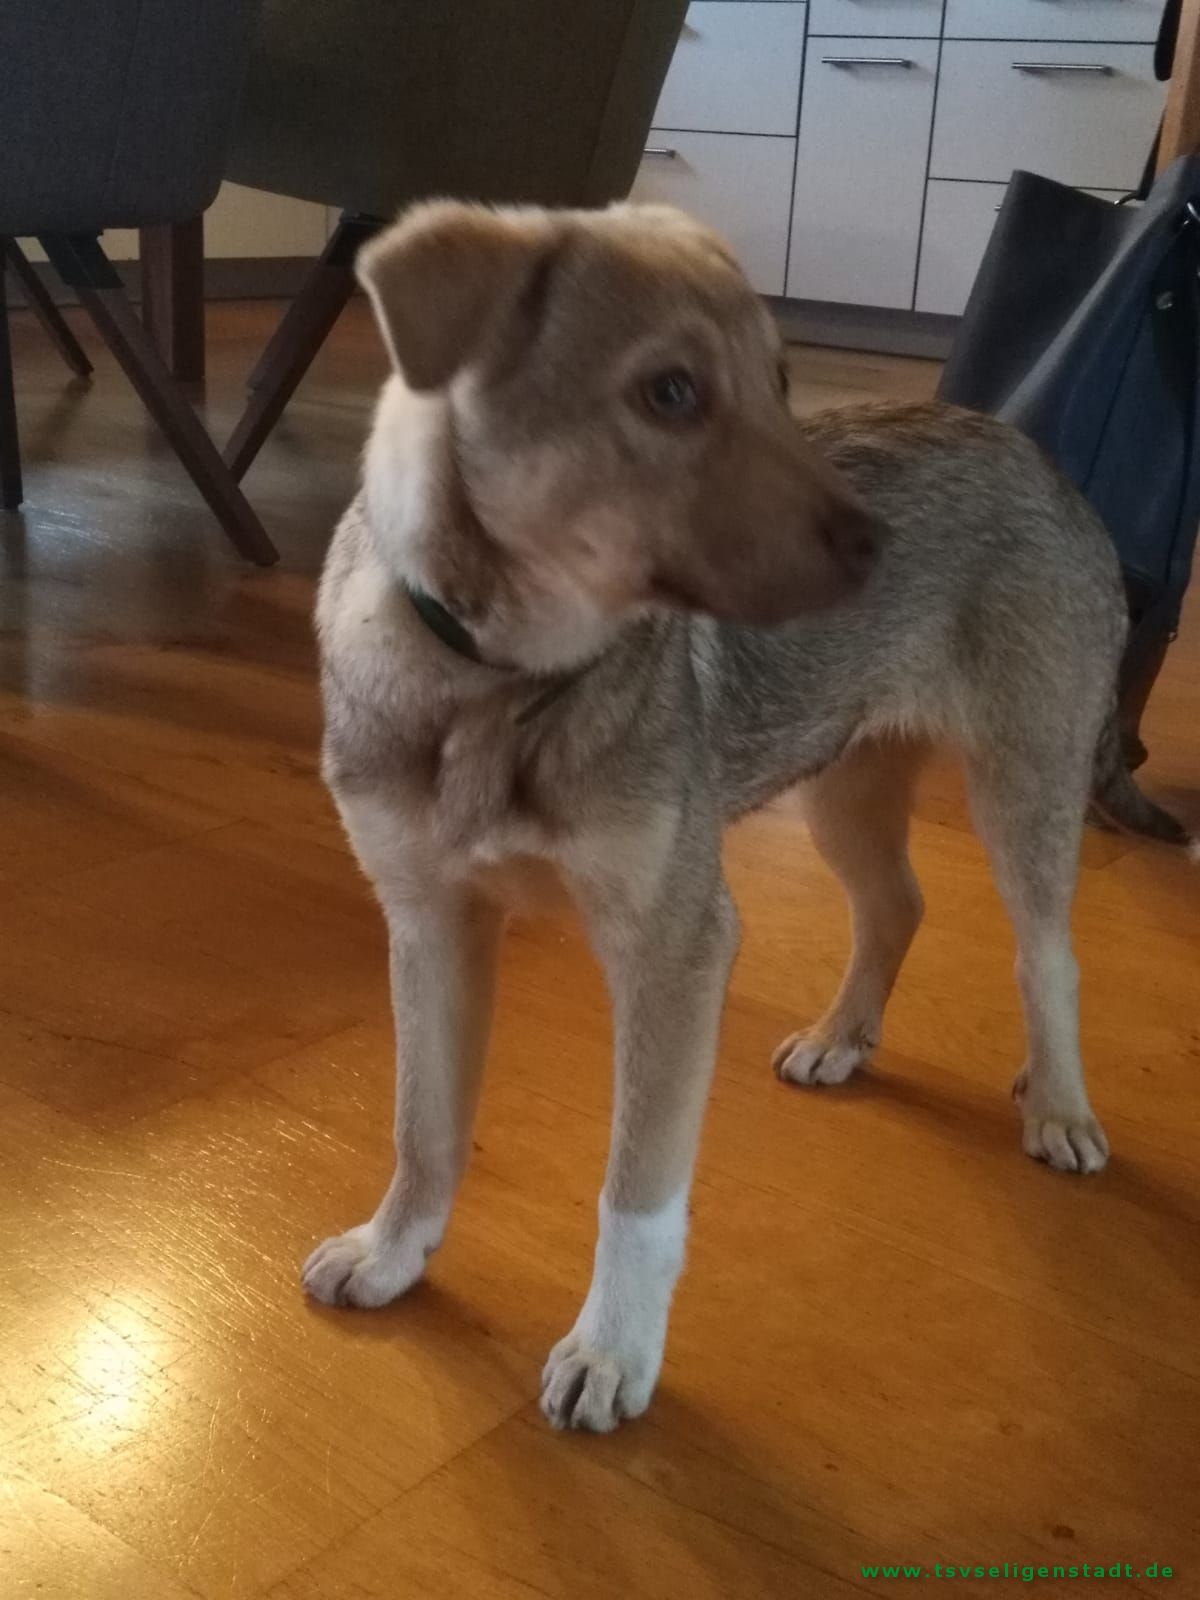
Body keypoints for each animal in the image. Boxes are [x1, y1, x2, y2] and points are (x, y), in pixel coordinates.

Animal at [308, 200, 1192, 1433]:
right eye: (671, 392)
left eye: (779, 384)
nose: (876, 547)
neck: (502, 683)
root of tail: (1043, 460)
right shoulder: (431, 920)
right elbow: (422, 1123)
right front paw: (394, 1253)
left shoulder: (677, 947)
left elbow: (637, 1187)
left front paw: (612, 1350)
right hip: (845, 784)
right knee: (898, 905)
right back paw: (841, 1037)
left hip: (1026, 779)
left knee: (1047, 956)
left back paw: (1058, 1104)